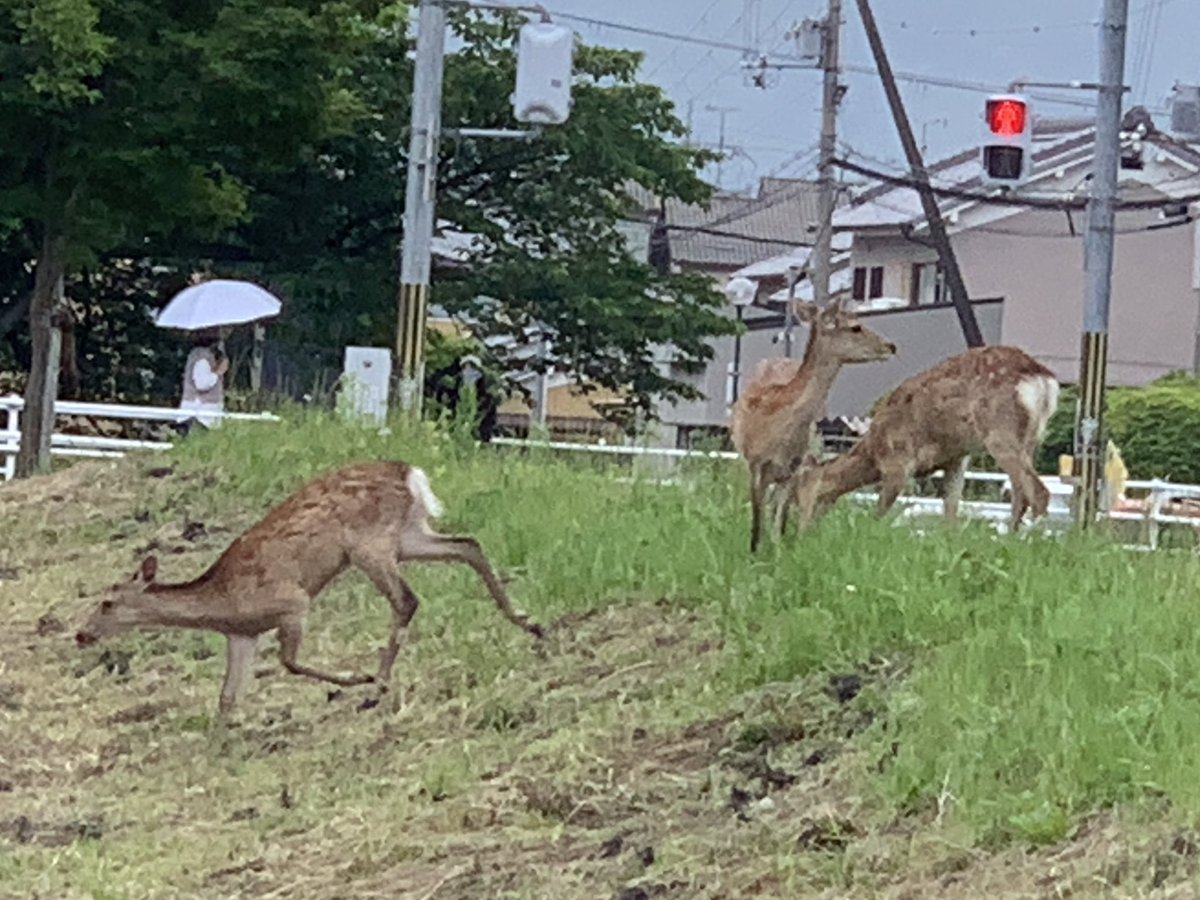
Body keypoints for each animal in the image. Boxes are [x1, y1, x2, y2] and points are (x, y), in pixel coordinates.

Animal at [75, 460, 544, 716]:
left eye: (107, 602)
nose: (81, 633)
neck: (223, 600)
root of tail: (411, 473)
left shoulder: (292, 601)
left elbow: (290, 662)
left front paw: (354, 677)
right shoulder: (241, 635)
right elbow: (226, 697)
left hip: (369, 545)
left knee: (408, 600)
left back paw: (377, 685)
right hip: (408, 535)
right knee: (468, 545)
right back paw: (530, 623)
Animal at [730, 298, 897, 552]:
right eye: (856, 327)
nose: (891, 346)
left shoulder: (794, 469)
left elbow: (779, 525)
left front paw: (778, 554)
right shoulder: (756, 464)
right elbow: (756, 525)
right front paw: (754, 552)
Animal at [789, 345, 1061, 533]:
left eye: (798, 493)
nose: (799, 531)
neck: (874, 452)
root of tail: (1042, 379)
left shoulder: (898, 461)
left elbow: (880, 512)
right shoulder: (957, 458)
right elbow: (950, 511)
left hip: (1000, 431)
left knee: (1038, 493)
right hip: (1029, 439)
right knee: (1021, 495)